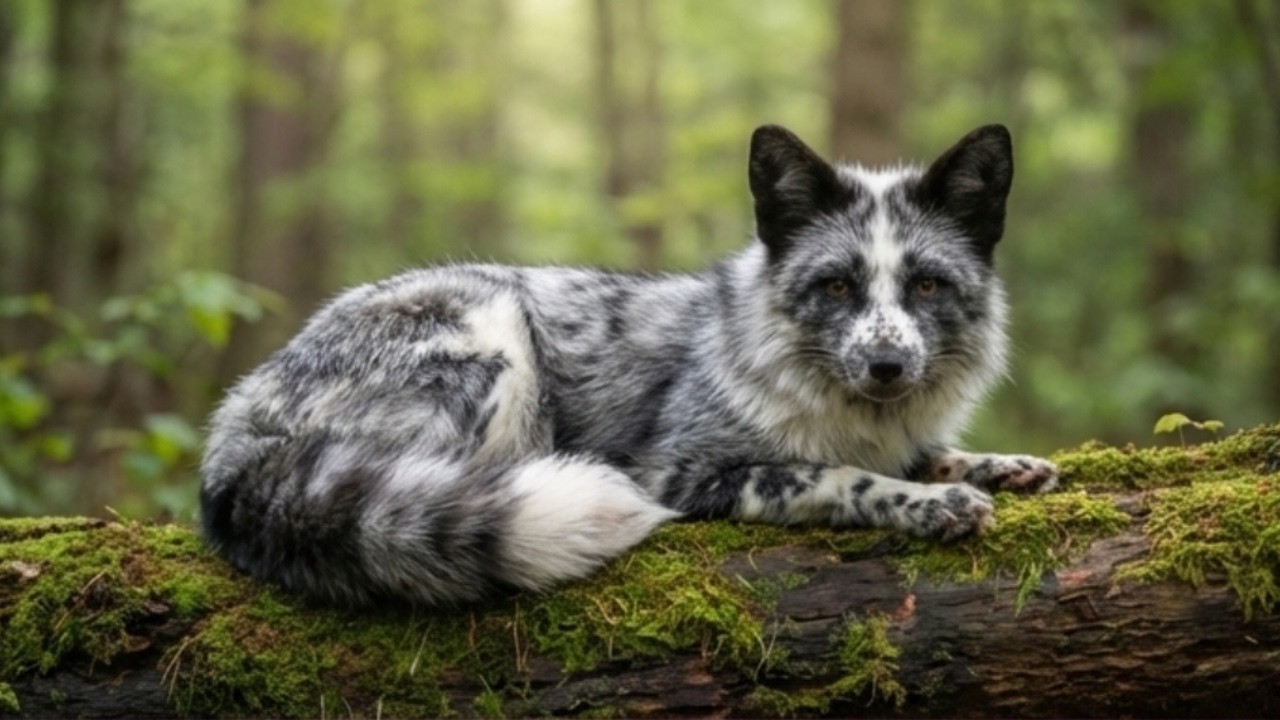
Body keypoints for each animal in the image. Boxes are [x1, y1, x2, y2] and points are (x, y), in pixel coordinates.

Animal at [200, 123, 1059, 607]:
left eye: (926, 285)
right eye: (839, 285)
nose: (886, 365)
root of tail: (236, 424)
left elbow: (931, 453)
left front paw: (1000, 464)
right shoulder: (678, 469)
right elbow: (835, 477)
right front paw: (930, 503)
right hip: (495, 341)